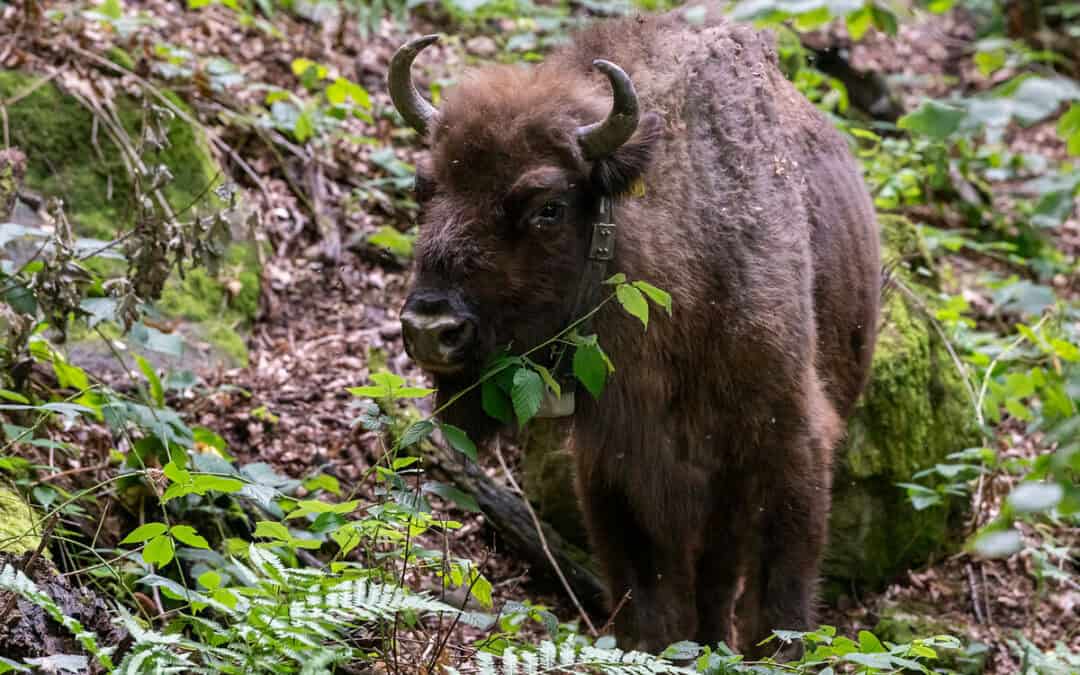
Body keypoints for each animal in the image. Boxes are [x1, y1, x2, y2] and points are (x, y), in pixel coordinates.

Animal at [388, 6, 880, 657]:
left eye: (547, 207)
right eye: (425, 189)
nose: (430, 327)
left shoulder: (789, 441)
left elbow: (780, 595)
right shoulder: (616, 463)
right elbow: (647, 591)